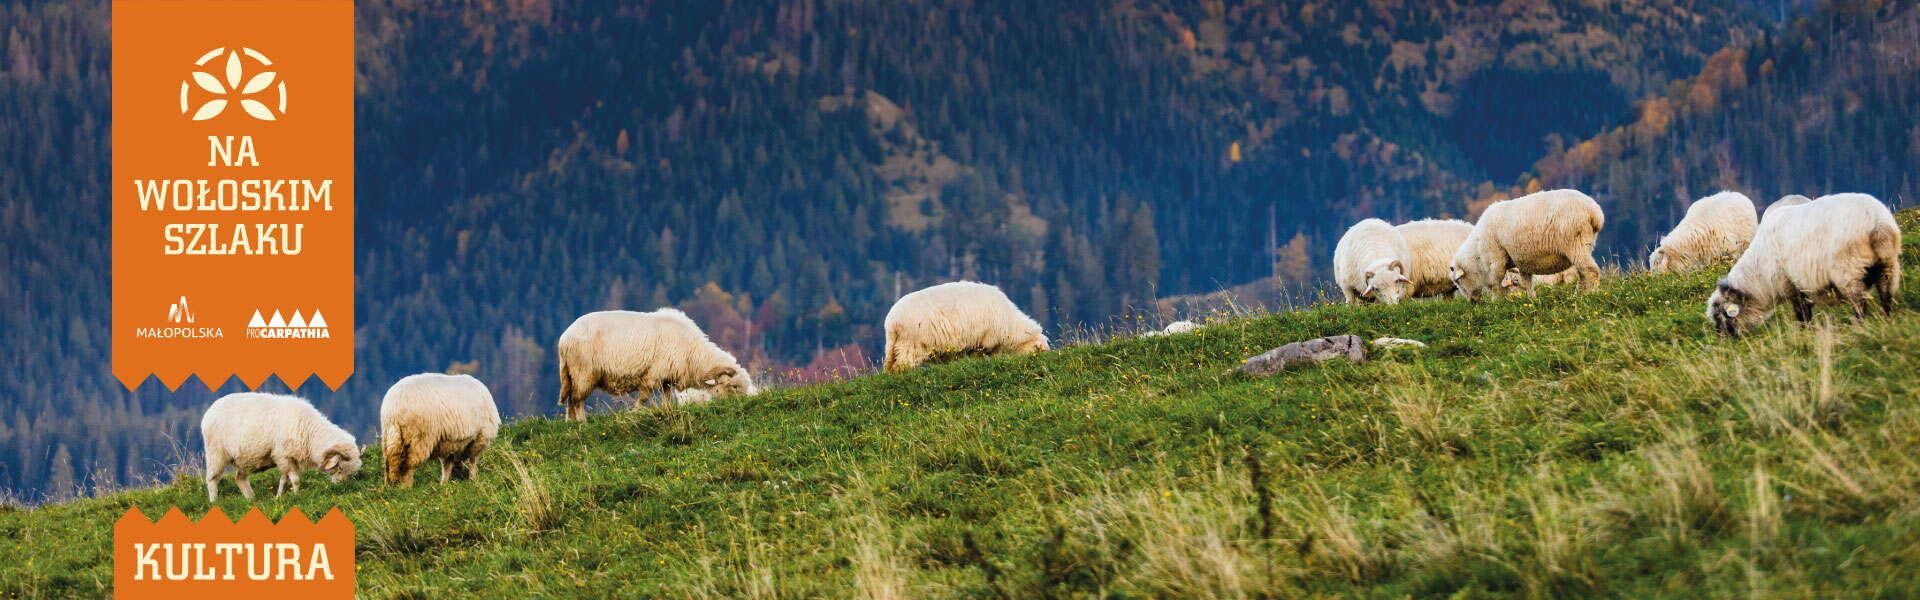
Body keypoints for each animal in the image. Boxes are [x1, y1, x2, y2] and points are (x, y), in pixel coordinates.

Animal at [202, 394, 362, 500]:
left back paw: (251, 499)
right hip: (216, 453)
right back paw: (214, 502)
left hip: (245, 459)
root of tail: (209, 412)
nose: (341, 487)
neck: (309, 431)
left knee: (240, 479)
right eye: (339, 468)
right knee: (212, 479)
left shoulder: (287, 459)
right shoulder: (282, 455)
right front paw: (296, 496)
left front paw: (279, 497)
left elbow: (284, 479)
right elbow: (295, 479)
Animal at [556, 309, 756, 421]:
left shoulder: (666, 377)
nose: (745, 405)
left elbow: (666, 396)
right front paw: (635, 413)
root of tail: (564, 338)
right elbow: (644, 397)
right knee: (577, 399)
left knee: (571, 399)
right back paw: (582, 422)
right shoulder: (653, 374)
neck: (693, 353)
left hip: (572, 373)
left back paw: (571, 422)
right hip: (583, 372)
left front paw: (667, 411)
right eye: (734, 386)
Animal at [883, 280, 1052, 371]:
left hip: (897, 345)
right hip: (912, 343)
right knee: (902, 366)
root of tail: (891, 321)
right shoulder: (984, 341)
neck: (1011, 325)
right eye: (1040, 350)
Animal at [1451, 188, 1605, 298]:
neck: (1477, 255)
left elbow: (1496, 284)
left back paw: (1587, 295)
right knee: (1583, 273)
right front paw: (1532, 299)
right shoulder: (1522, 262)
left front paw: (1497, 302)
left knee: (1590, 271)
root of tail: (1595, 212)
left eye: (1457, 281)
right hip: (1585, 244)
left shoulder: (1496, 259)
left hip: (1575, 244)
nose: (1472, 302)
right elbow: (1526, 283)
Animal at [1712, 192, 1904, 334]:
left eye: (1721, 316)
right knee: (1886, 295)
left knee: (1859, 304)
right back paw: (1887, 320)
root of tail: (1879, 223)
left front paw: (1805, 331)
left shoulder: (1791, 285)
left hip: (1849, 271)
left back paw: (1859, 326)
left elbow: (1802, 313)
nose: (1724, 340)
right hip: (1888, 265)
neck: (1758, 275)